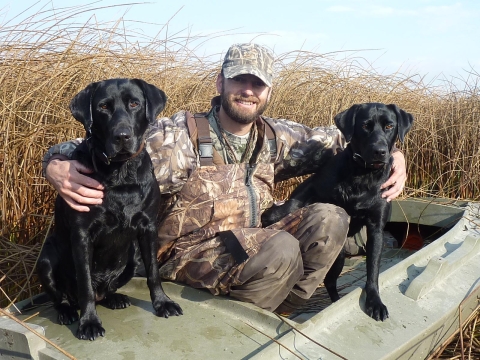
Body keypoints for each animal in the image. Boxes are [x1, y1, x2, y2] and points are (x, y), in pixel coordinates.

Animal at [37, 78, 183, 340]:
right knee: (62, 297)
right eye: (103, 107)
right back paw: (67, 311)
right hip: (46, 259)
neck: (120, 172)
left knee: (106, 291)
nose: (122, 136)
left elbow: (154, 273)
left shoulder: (148, 227)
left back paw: (114, 298)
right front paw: (89, 322)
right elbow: (85, 283)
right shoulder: (82, 235)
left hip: (132, 257)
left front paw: (162, 303)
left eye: (134, 103)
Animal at [260, 102, 414, 322]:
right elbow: (292, 204)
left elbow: (373, 269)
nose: (380, 151)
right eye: (365, 125)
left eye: (389, 126)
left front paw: (375, 302)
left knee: (331, 282)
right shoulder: (314, 185)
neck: (363, 175)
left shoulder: (376, 228)